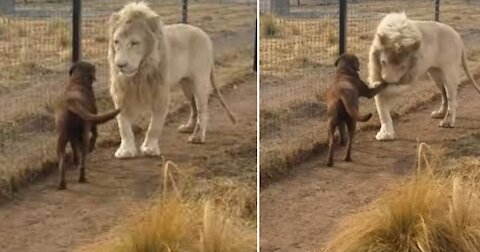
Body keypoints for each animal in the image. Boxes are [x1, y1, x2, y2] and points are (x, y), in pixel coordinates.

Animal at [55, 62, 121, 190]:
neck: (77, 81)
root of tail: (72, 102)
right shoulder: (92, 119)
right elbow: (95, 134)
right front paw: (91, 147)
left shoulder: (72, 136)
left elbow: (74, 147)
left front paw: (75, 160)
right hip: (84, 132)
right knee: (83, 157)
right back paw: (82, 176)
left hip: (61, 137)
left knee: (62, 161)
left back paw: (62, 183)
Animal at [109, 2, 236, 158]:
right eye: (116, 42)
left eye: (134, 43)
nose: (120, 65)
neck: (140, 73)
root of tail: (204, 34)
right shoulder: (120, 92)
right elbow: (123, 125)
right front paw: (125, 150)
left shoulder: (161, 93)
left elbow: (155, 125)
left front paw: (150, 148)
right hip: (186, 85)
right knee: (193, 106)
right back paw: (188, 128)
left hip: (200, 81)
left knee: (202, 109)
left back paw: (197, 137)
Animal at [370, 11, 478, 141]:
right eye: (383, 62)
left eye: (403, 66)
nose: (386, 81)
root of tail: (457, 36)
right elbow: (382, 110)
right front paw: (386, 133)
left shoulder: (410, 77)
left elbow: (387, 92)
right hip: (435, 74)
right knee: (444, 94)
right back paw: (440, 113)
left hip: (449, 73)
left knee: (451, 97)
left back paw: (447, 121)